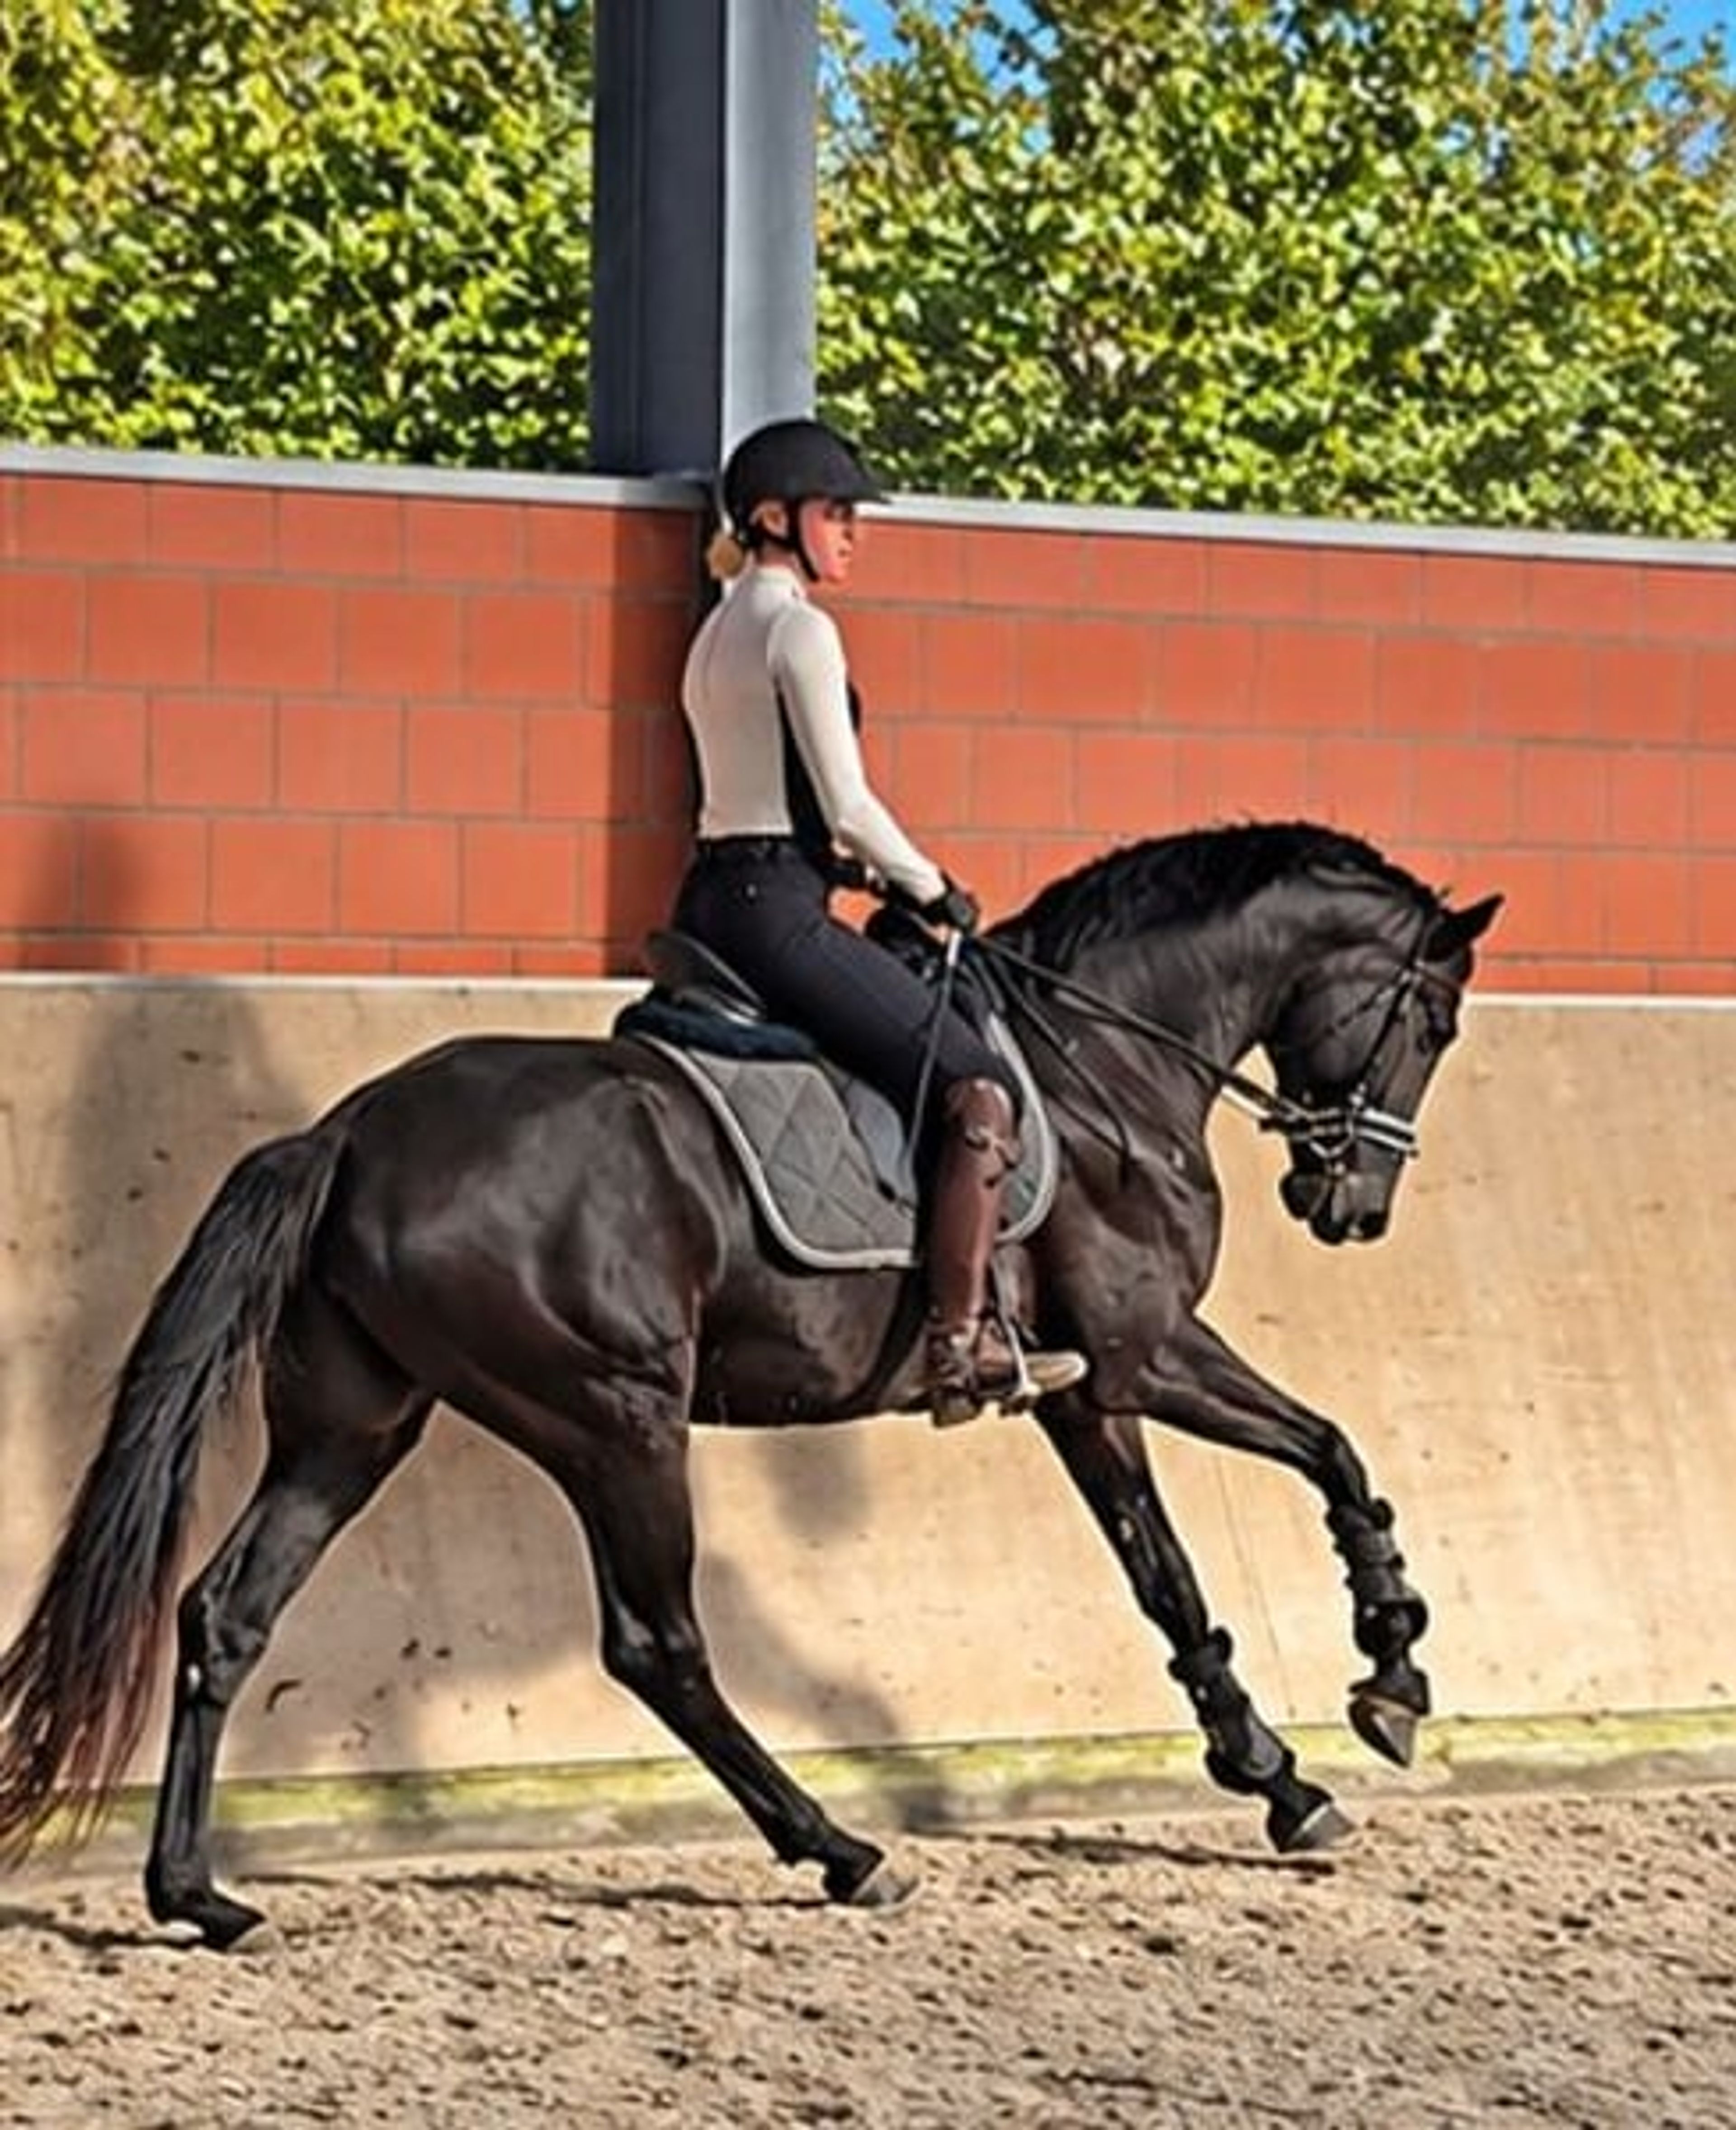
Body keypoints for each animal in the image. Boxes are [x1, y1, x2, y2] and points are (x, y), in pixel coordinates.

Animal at [0, 820, 1499, 1949]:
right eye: (1430, 1018)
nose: (1349, 1204)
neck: (1106, 1068)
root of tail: (351, 1133)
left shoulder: (1089, 1389)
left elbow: (1202, 1545)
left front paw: (1302, 1753)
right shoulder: (1136, 1356)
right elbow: (1300, 1477)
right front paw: (1369, 1697)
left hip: (353, 1426)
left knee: (227, 1613)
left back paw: (198, 1897)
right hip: (613, 1418)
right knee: (657, 1643)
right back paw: (840, 1848)